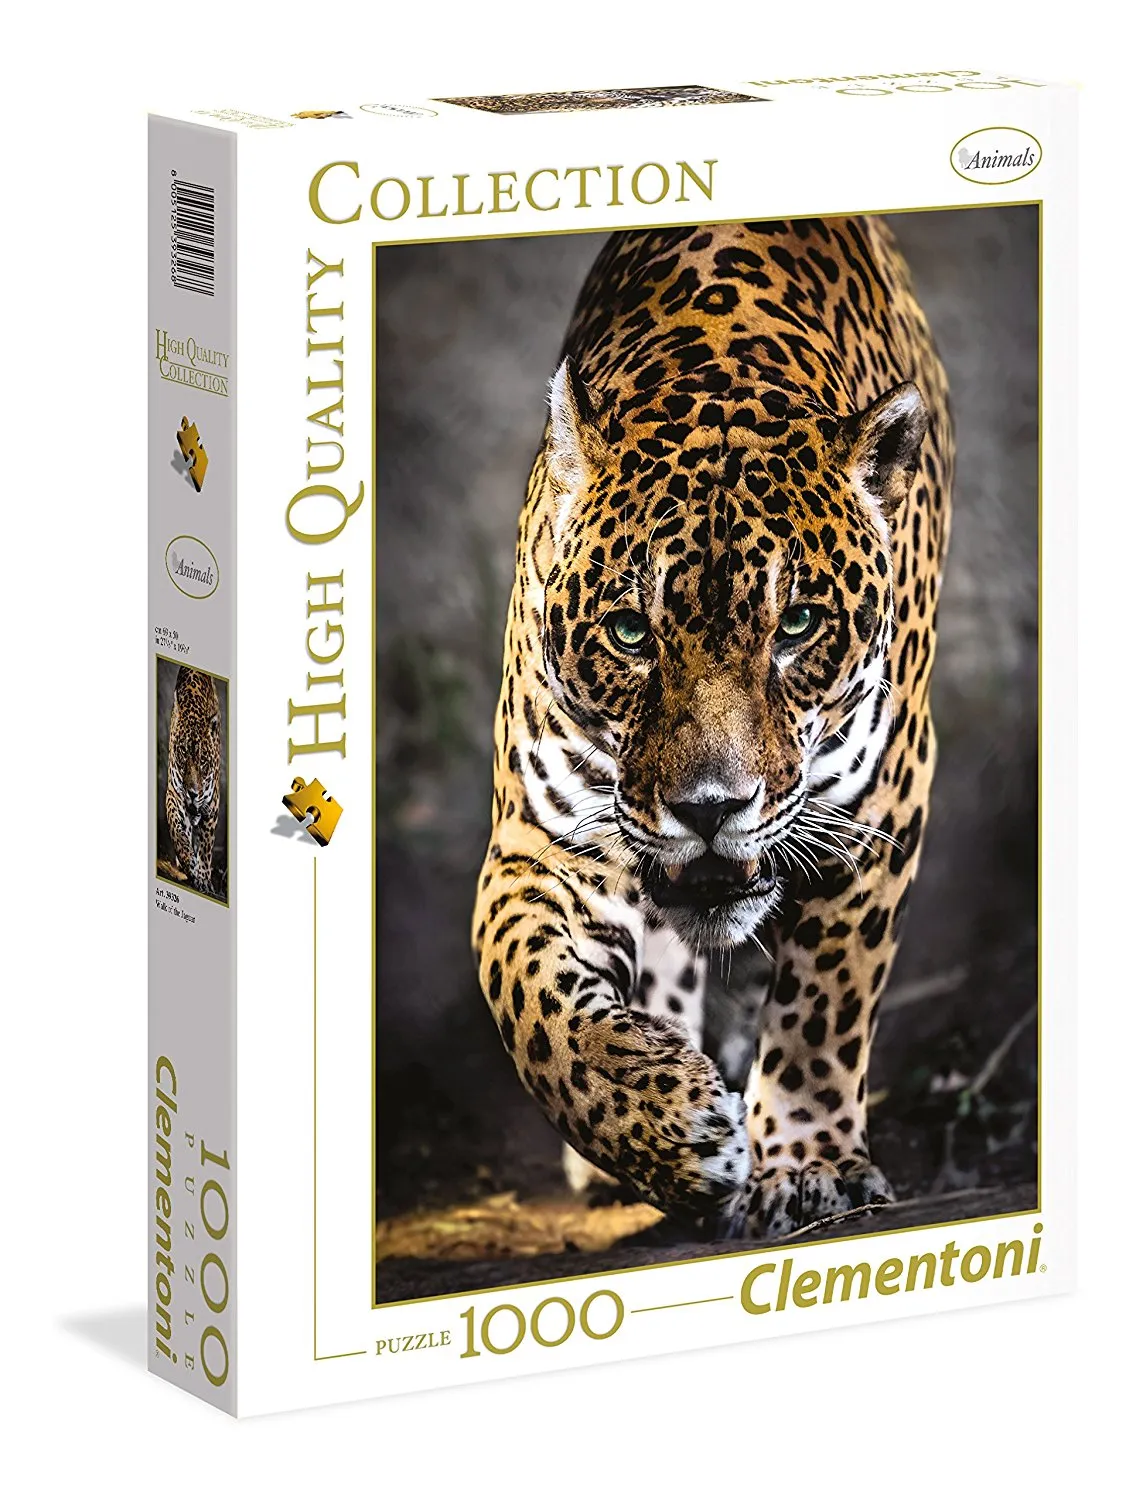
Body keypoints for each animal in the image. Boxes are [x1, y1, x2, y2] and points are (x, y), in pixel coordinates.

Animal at [164, 666, 223, 897]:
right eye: (182, 753)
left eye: (203, 761)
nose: (192, 793)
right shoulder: (173, 793)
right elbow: (177, 829)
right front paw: (187, 858)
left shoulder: (212, 805)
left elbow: (206, 847)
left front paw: (204, 879)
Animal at [472, 216, 953, 1240]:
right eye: (629, 632)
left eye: (797, 626)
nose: (708, 809)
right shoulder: (542, 840)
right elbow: (527, 996)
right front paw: (665, 1127)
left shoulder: (879, 805)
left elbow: (824, 1000)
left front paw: (805, 1164)